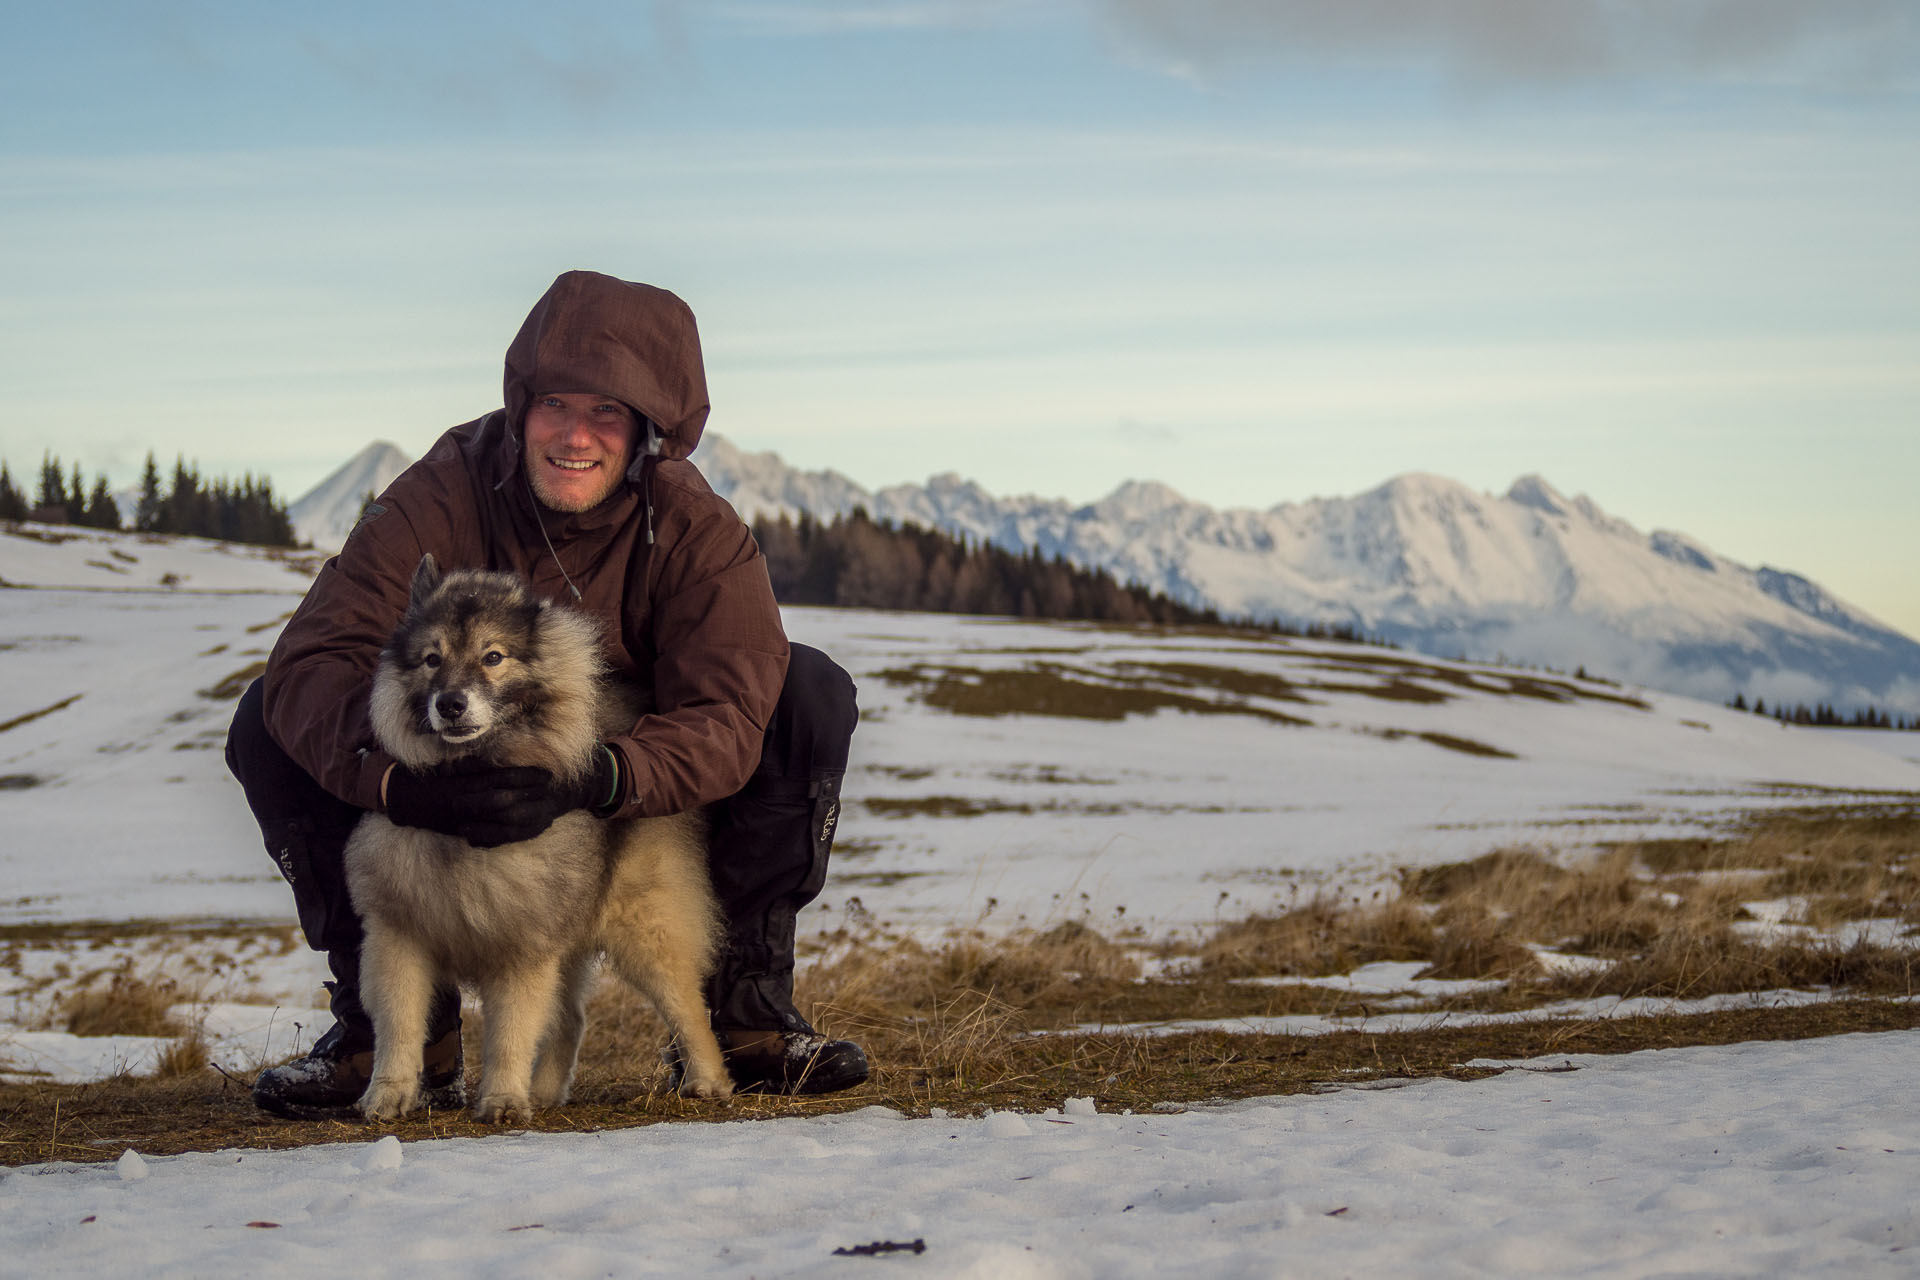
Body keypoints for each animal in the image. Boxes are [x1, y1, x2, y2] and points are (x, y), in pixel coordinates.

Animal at [345, 556, 733, 1120]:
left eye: (493, 657)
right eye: (431, 660)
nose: (451, 704)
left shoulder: (524, 944)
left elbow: (510, 1032)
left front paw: (504, 1098)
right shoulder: (400, 935)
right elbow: (398, 1026)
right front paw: (388, 1094)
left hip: (647, 926)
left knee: (688, 1007)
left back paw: (708, 1081)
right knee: (570, 1018)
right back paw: (547, 1092)